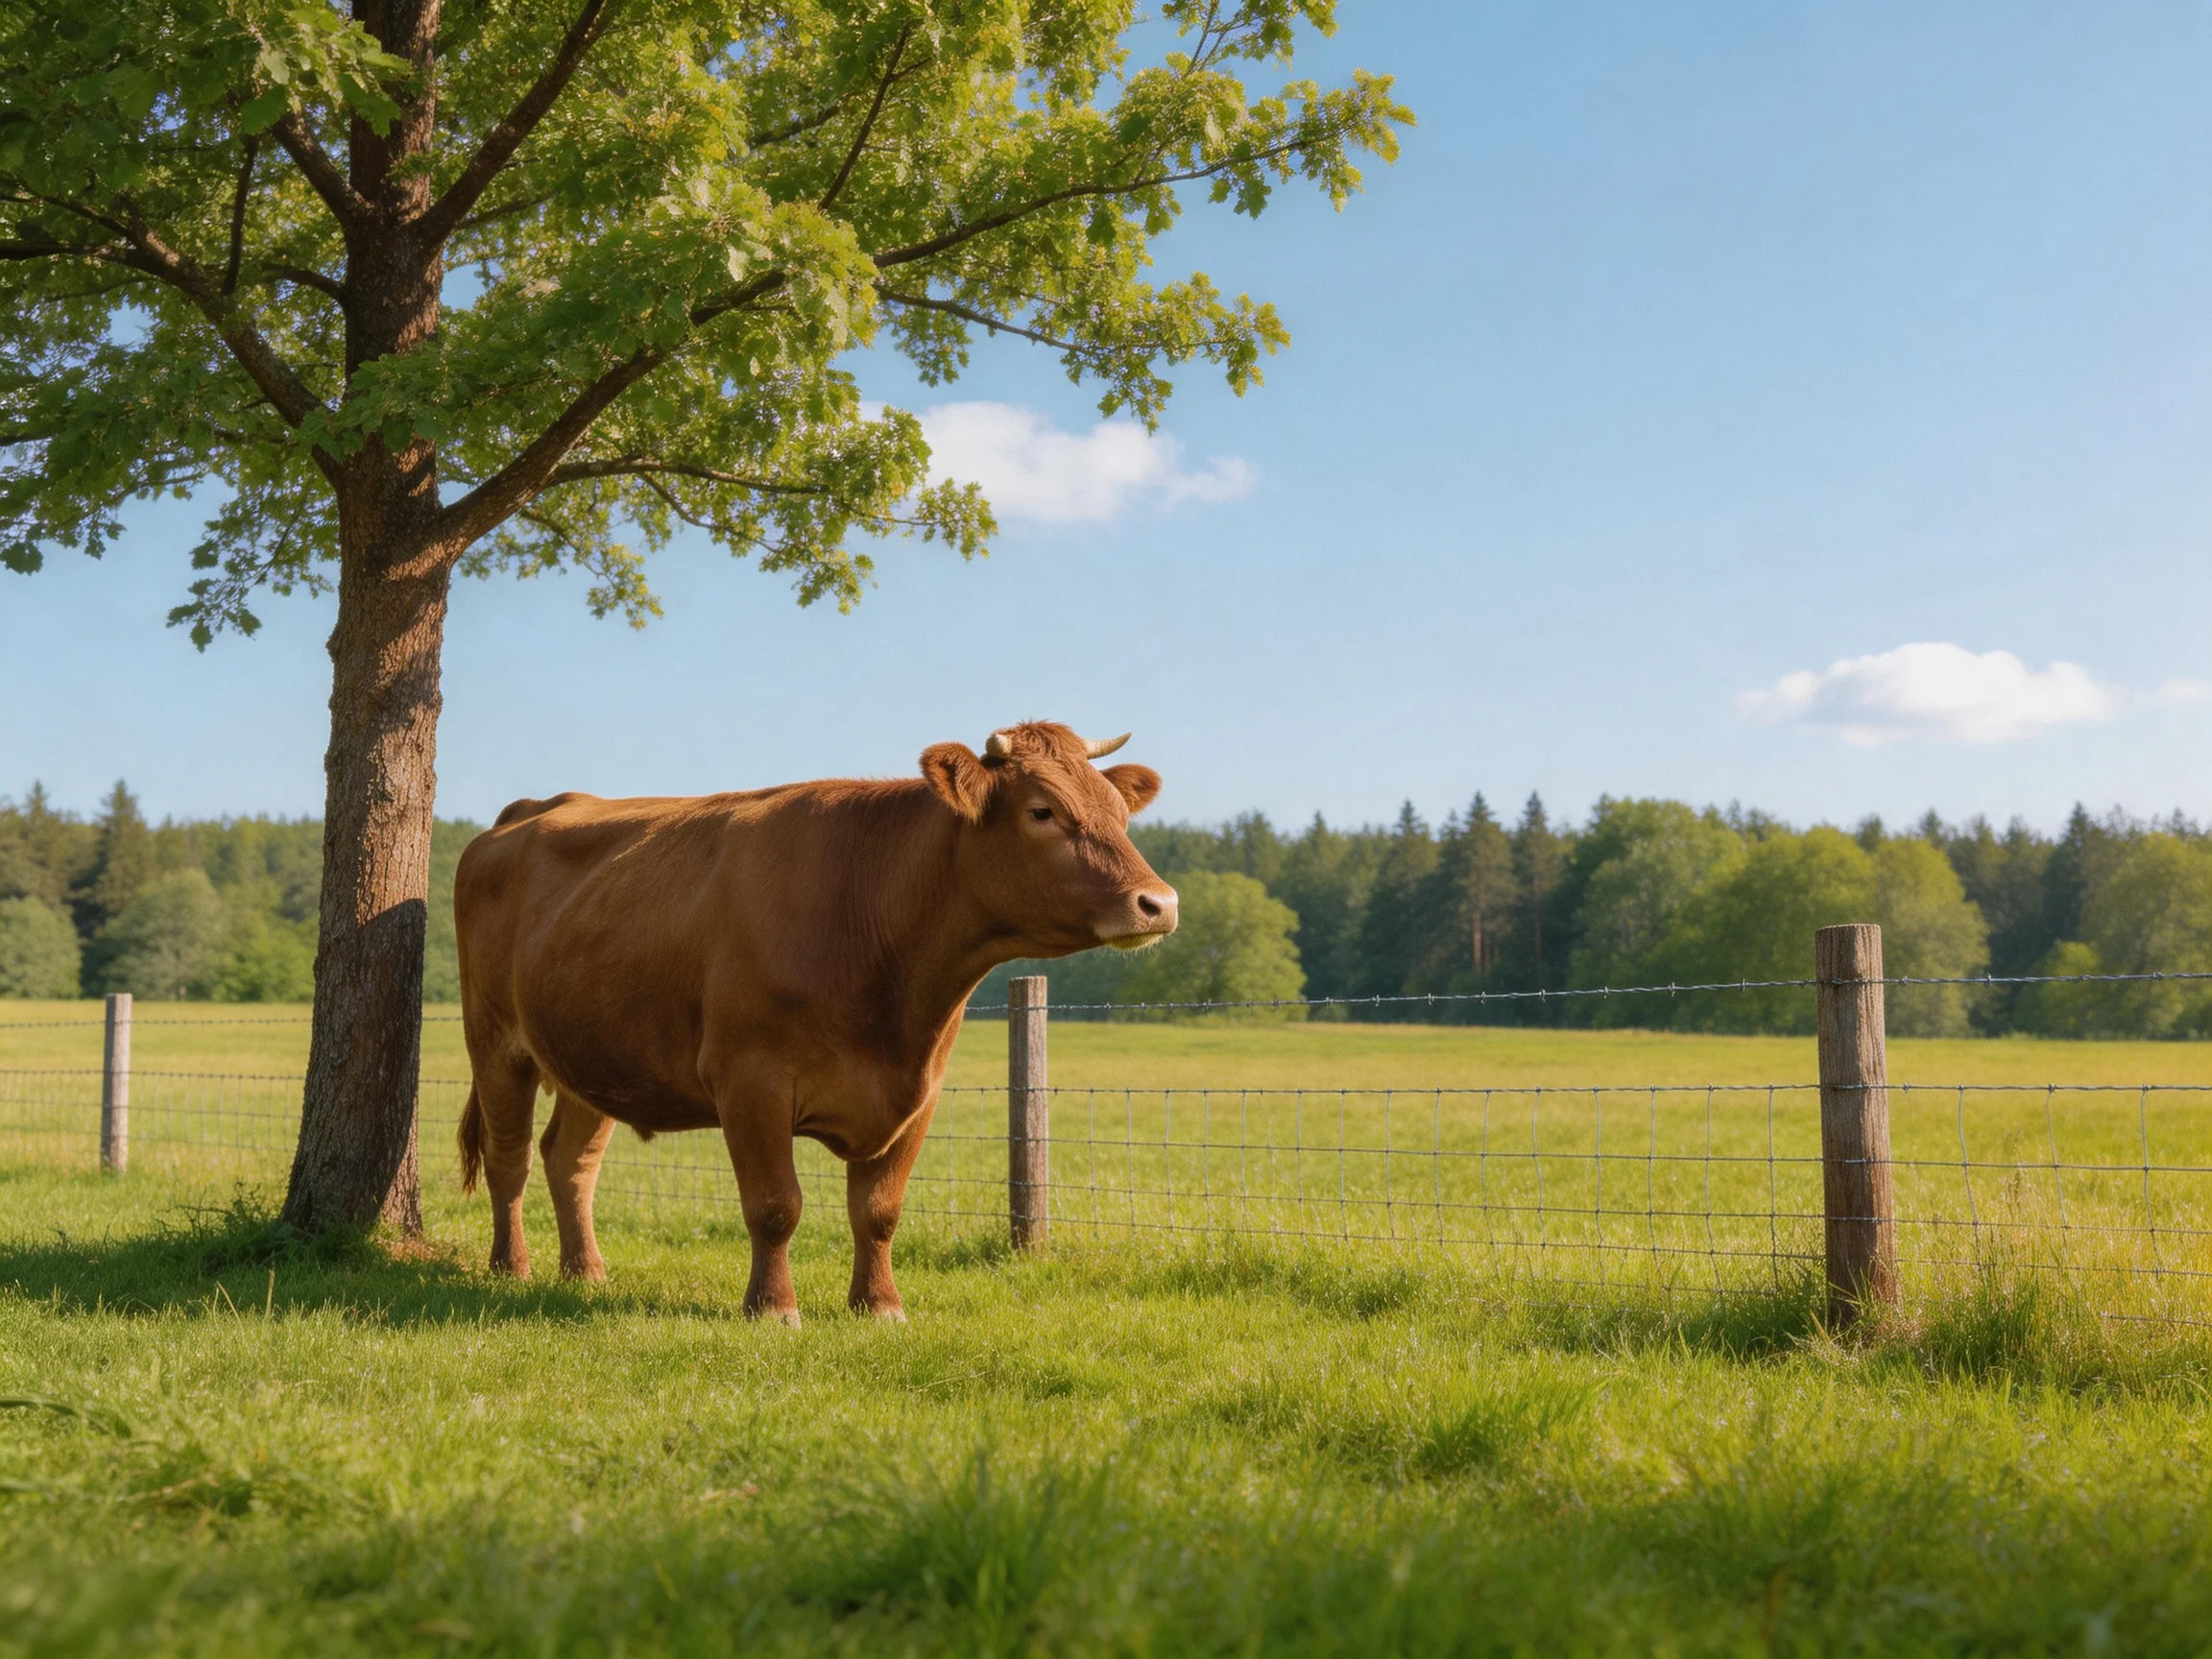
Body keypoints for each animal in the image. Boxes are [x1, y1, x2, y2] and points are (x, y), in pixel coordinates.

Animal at [453, 721, 1177, 1323]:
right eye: (1042, 811)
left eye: (1120, 813)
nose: (1159, 902)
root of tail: (536, 807)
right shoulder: (750, 1080)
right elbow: (776, 1206)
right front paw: (773, 1309)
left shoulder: (920, 1092)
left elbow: (879, 1210)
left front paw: (879, 1306)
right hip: (495, 1041)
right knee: (510, 1157)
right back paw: (511, 1268)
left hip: (594, 1055)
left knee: (569, 1160)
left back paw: (586, 1273)